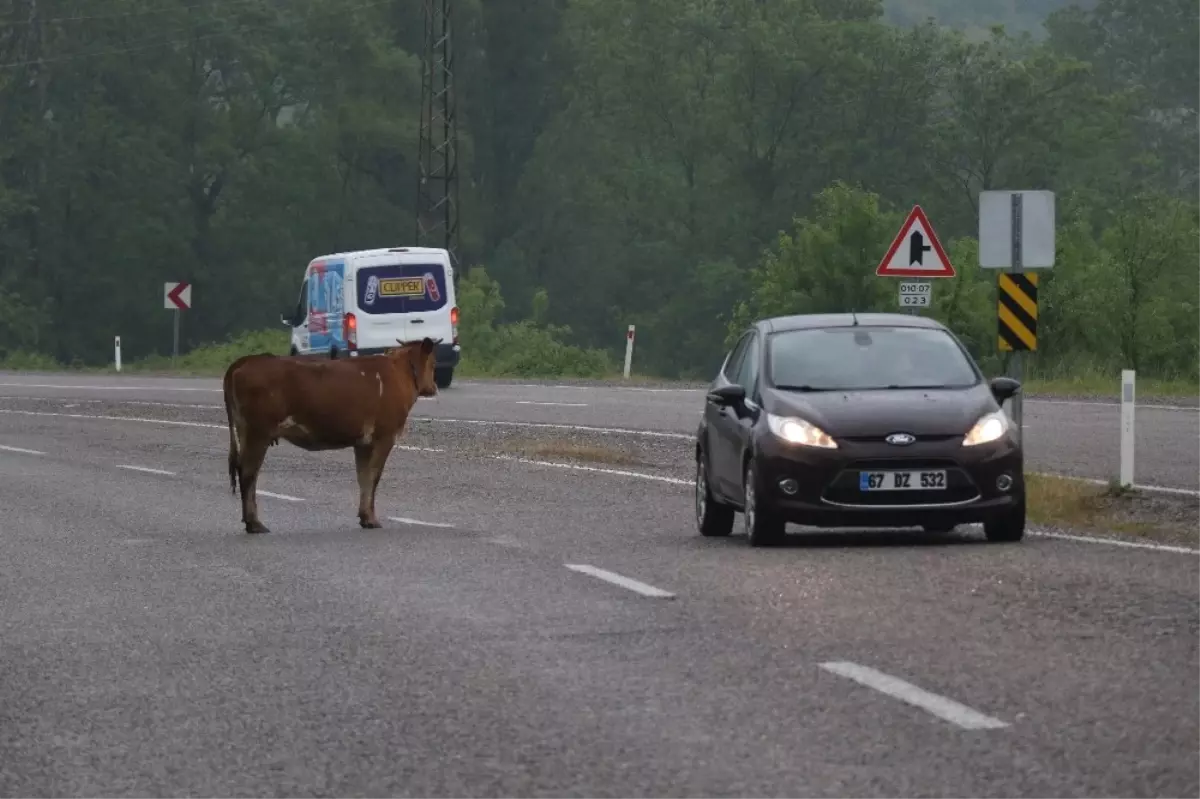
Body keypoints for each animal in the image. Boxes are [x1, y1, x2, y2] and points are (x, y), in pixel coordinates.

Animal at [223, 333, 439, 527]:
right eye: (434, 364)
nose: (434, 387)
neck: (400, 372)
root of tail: (250, 360)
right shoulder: (385, 436)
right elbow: (374, 476)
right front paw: (371, 519)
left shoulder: (363, 442)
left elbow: (363, 477)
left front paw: (365, 517)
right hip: (258, 432)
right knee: (248, 473)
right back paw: (254, 523)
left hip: (245, 430)